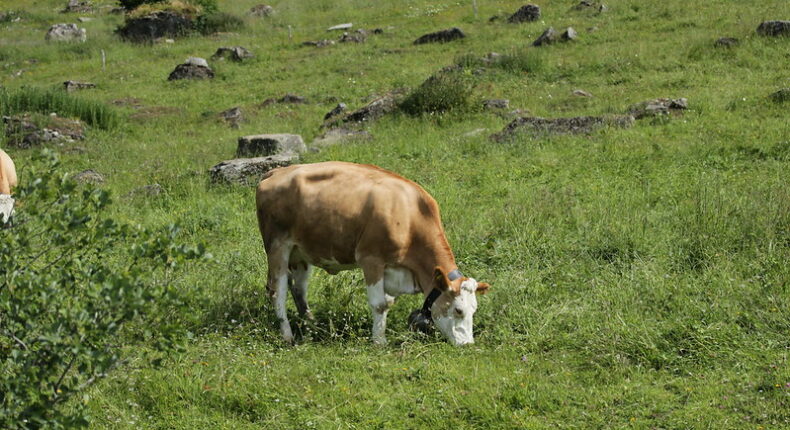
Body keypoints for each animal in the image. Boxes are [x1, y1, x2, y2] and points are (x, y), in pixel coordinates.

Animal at [255, 161, 488, 346]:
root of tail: (277, 171)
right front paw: (379, 341)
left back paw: (312, 324)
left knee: (298, 289)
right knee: (277, 292)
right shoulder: (371, 259)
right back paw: (287, 336)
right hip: (278, 247)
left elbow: (389, 303)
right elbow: (380, 304)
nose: (468, 344)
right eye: (458, 310)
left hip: (300, 253)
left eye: (474, 310)